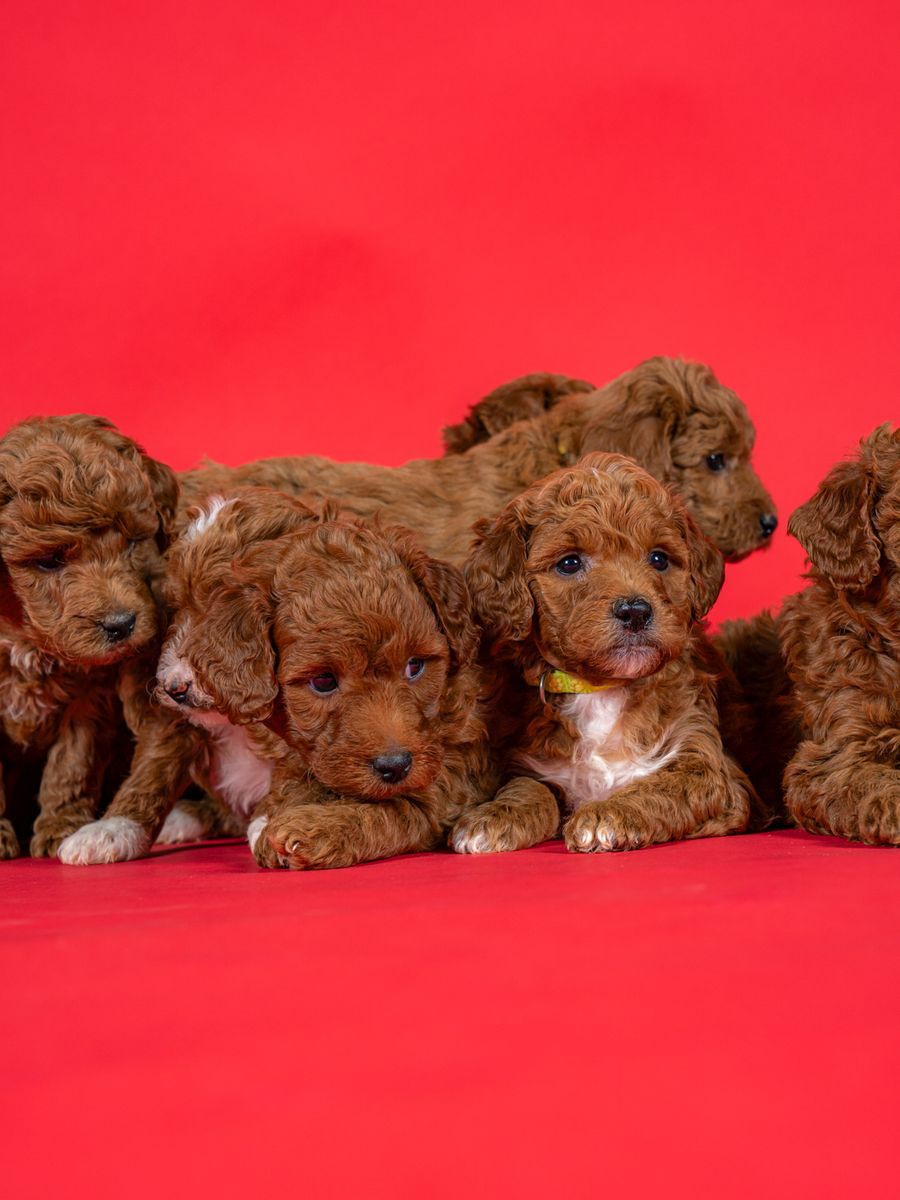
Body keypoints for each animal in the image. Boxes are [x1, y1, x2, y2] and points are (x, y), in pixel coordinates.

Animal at [0, 414, 177, 857]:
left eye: (132, 542)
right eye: (48, 561)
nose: (122, 624)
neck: (29, 640)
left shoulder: (89, 700)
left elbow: (71, 765)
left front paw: (61, 828)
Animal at [449, 452, 759, 855]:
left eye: (659, 559)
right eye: (569, 563)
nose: (636, 611)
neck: (603, 688)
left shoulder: (713, 771)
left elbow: (661, 787)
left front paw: (608, 814)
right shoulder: (537, 763)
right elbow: (529, 788)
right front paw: (491, 818)